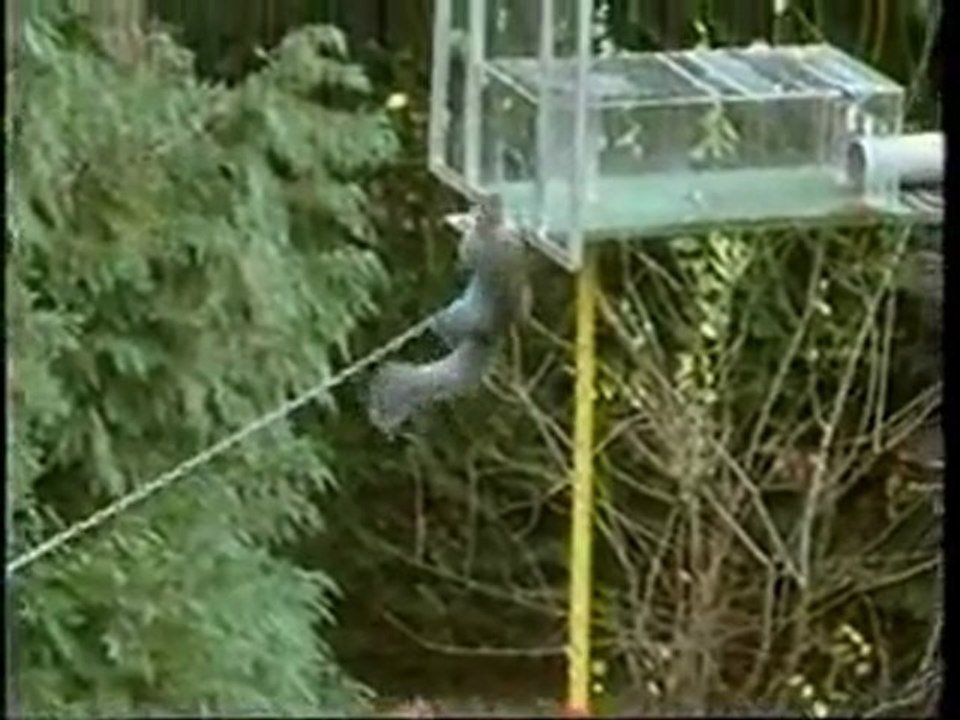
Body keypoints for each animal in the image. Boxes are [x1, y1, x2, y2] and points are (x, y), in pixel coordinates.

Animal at [368, 193, 531, 434]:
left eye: (479, 208)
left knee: (448, 328)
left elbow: (467, 255)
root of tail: (491, 333)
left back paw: (437, 324)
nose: (473, 209)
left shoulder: (477, 244)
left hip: (460, 316)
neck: (494, 226)